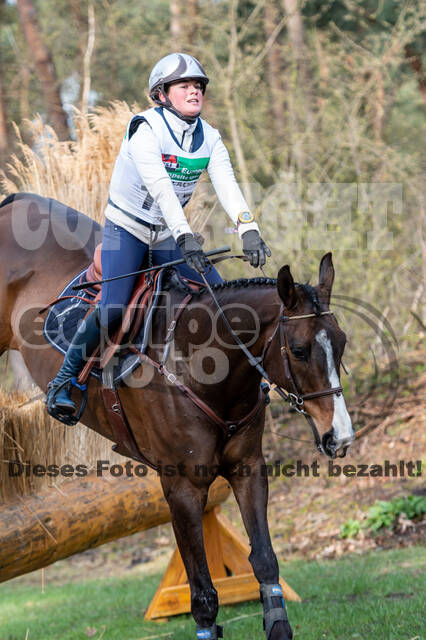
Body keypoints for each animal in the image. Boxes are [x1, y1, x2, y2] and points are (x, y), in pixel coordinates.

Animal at [0, 194, 352, 640]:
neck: (203, 365)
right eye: (301, 351)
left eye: (341, 344)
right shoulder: (181, 487)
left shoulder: (248, 469)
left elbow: (265, 561)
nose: (340, 437)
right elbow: (203, 595)